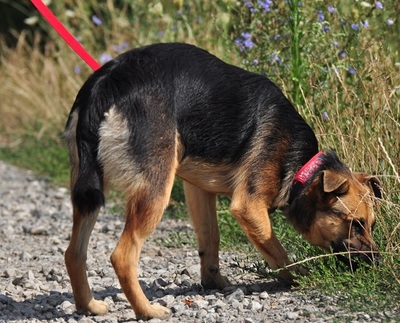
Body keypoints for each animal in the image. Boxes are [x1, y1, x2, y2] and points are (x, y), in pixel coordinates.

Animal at [64, 43, 382, 322]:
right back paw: (147, 310)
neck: (302, 167)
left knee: (73, 253)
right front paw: (302, 277)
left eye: (371, 225)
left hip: (89, 188)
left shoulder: (198, 189)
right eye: (354, 223)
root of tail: (107, 81)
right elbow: (278, 252)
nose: (378, 262)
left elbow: (210, 238)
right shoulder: (249, 207)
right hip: (155, 191)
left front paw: (213, 281)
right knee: (122, 255)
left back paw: (89, 305)